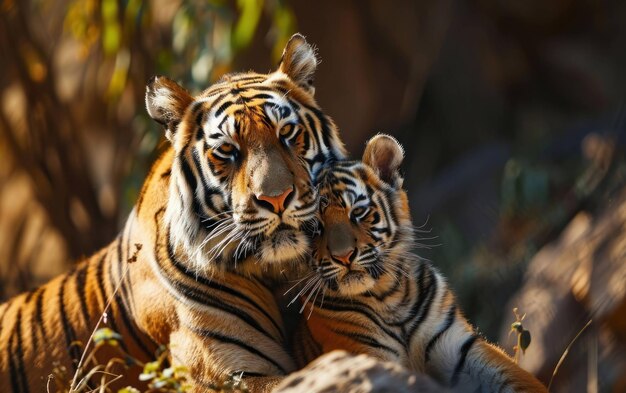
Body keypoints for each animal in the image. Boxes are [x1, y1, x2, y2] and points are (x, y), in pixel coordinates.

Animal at [290, 133, 544, 390]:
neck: (388, 298)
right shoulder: (363, 356)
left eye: (358, 212)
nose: (343, 256)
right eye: (313, 225)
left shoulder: (457, 346)